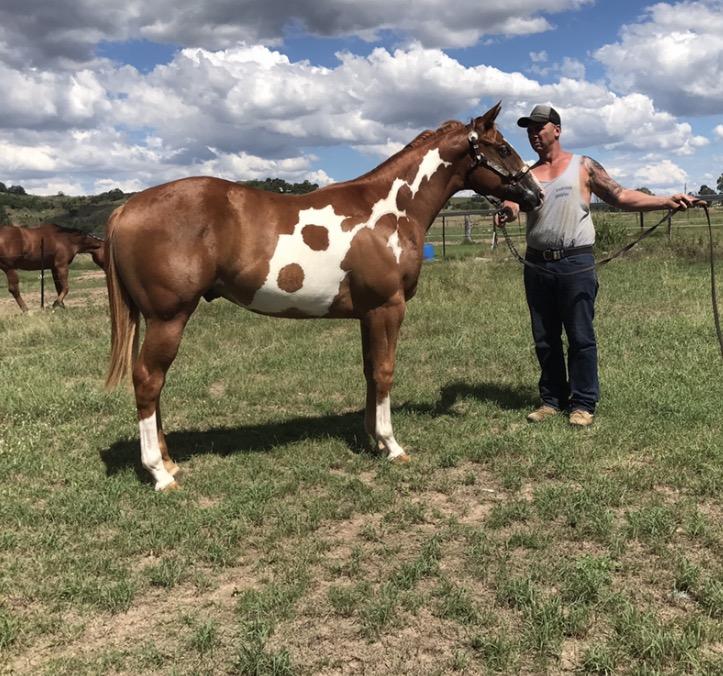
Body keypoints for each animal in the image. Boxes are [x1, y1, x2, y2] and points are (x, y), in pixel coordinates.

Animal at [104, 102, 543, 491]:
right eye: (503, 148)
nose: (535, 194)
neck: (390, 210)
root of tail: (127, 208)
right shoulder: (388, 307)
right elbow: (385, 372)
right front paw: (392, 445)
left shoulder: (368, 313)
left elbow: (370, 371)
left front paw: (373, 440)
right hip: (169, 318)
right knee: (148, 380)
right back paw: (159, 474)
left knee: (152, 383)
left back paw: (169, 462)